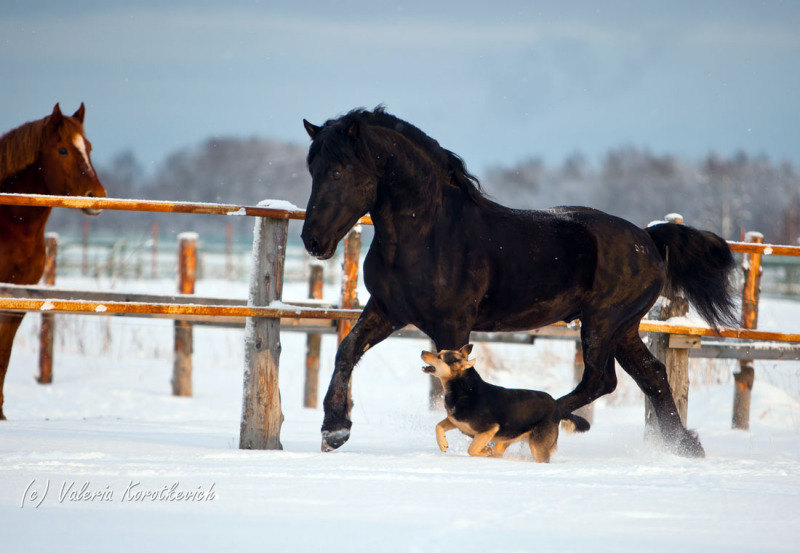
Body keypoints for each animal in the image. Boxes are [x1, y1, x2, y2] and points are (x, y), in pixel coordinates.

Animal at [422, 344, 592, 462]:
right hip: (508, 438)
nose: (422, 351)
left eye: (439, 356)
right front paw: (443, 444)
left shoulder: (489, 429)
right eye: (439, 352)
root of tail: (557, 406)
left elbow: (472, 449)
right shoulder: (456, 421)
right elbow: (438, 426)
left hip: (537, 447)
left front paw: (485, 451)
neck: (464, 389)